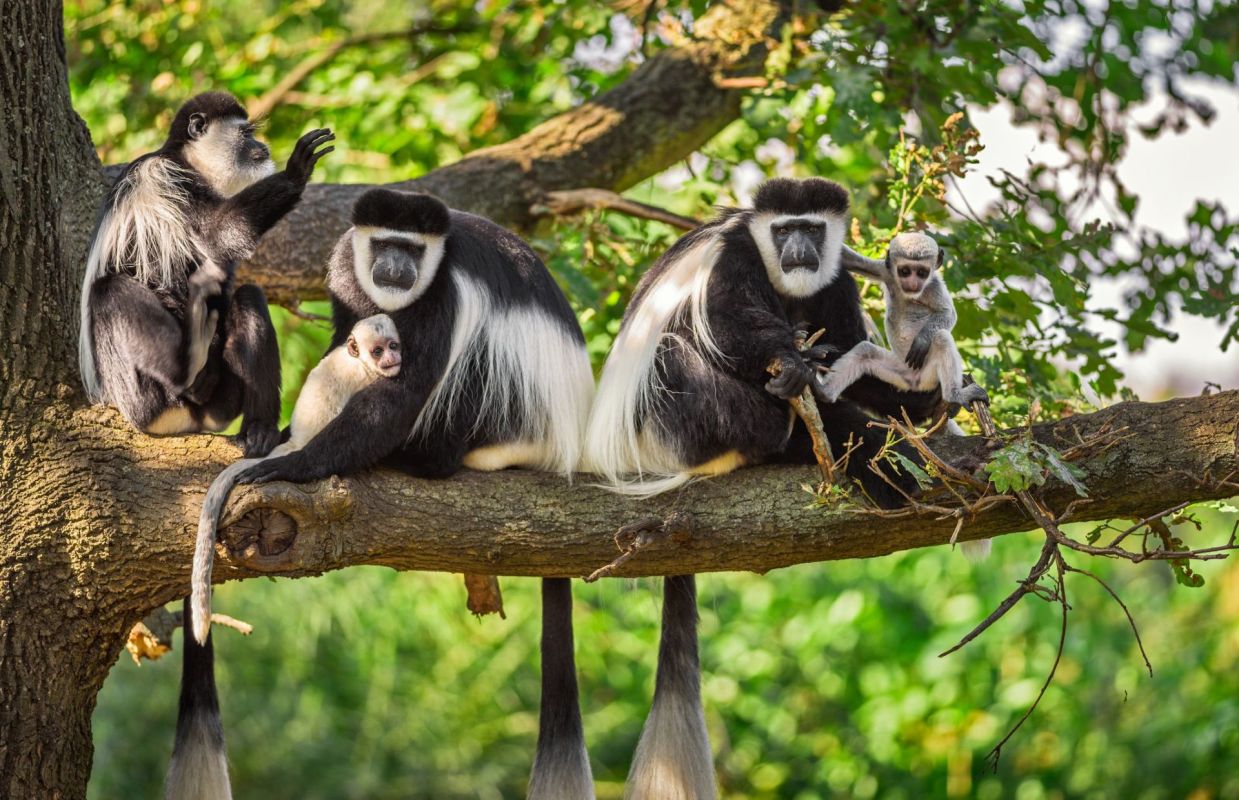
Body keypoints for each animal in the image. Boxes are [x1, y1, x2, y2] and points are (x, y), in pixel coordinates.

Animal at [78, 91, 334, 458]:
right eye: (246, 133)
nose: (262, 146)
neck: (187, 161)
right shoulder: (168, 179)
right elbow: (218, 233)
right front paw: (296, 171)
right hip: (137, 393)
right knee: (110, 290)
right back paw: (188, 373)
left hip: (221, 401)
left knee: (247, 297)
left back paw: (258, 431)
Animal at [583, 178, 943, 799]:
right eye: (782, 230)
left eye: (812, 229)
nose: (798, 249)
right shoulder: (734, 258)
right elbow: (729, 324)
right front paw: (793, 362)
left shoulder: (835, 280)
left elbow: (848, 347)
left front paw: (913, 398)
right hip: (667, 425)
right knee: (677, 354)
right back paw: (785, 424)